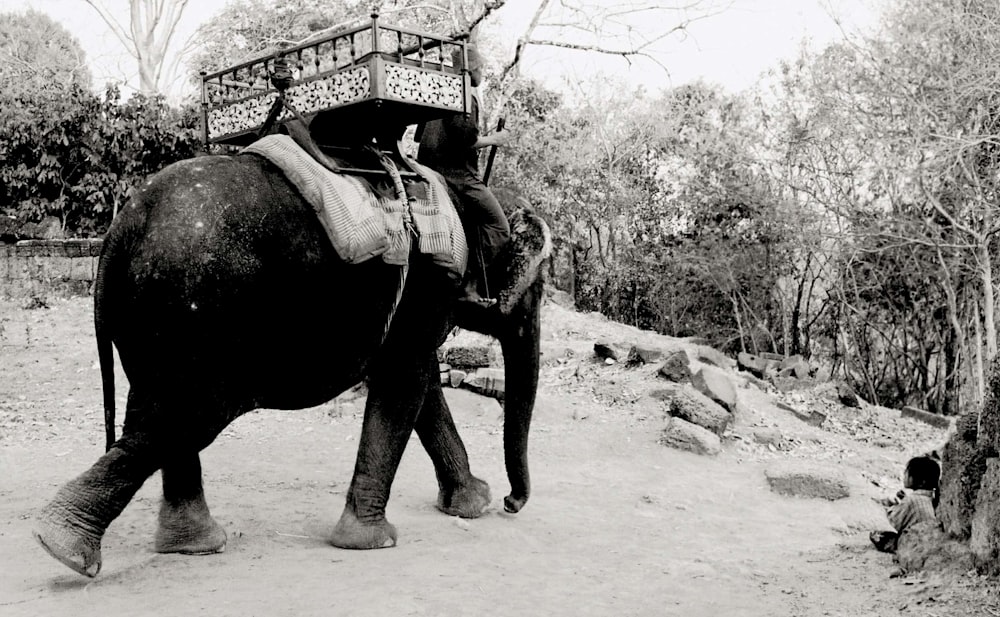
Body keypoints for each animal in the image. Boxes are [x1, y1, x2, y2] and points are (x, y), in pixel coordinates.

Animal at [31, 136, 552, 576]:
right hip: (197, 309)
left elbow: (417, 384)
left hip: (151, 319)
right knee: (185, 418)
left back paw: (190, 546)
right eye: (541, 287)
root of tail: (121, 228)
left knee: (155, 411)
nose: (512, 503)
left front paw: (472, 504)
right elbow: (406, 380)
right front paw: (375, 541)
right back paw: (64, 545)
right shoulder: (429, 283)